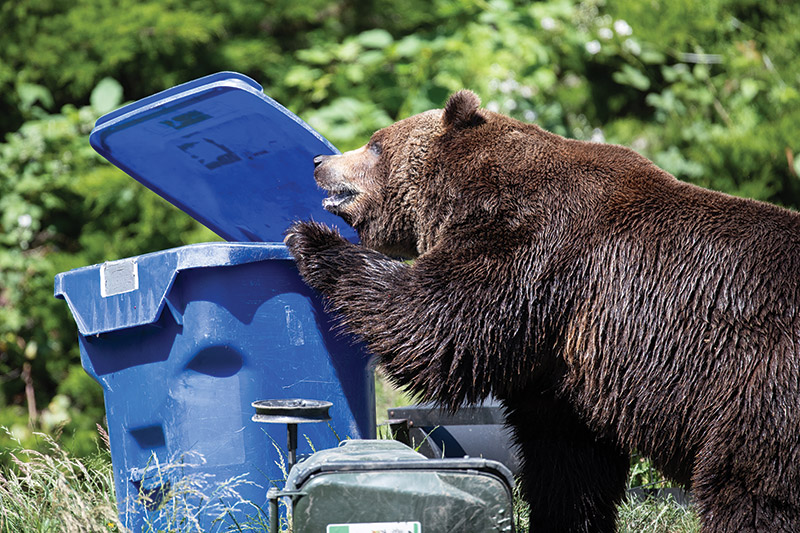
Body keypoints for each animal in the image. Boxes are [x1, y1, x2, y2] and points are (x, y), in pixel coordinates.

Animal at [285, 90, 800, 533]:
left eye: (374, 144)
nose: (318, 162)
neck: (464, 191)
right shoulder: (562, 357)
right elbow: (566, 460)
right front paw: (565, 518)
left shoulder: (534, 247)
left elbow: (434, 322)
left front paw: (310, 240)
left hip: (757, 392)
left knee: (750, 493)